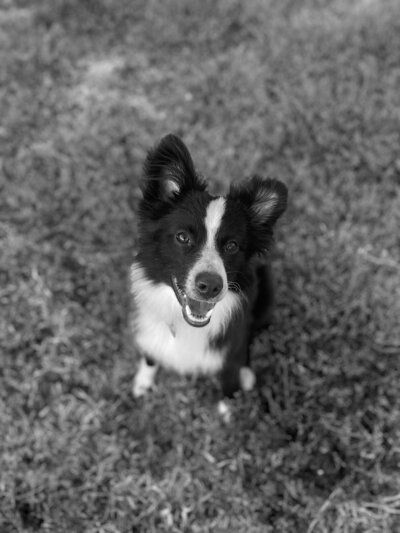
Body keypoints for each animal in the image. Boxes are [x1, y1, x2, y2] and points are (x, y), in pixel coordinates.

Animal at [130, 132, 286, 408]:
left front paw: (228, 408)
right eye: (182, 237)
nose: (211, 286)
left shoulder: (230, 352)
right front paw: (143, 382)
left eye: (232, 245)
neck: (187, 325)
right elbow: (151, 355)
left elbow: (229, 383)